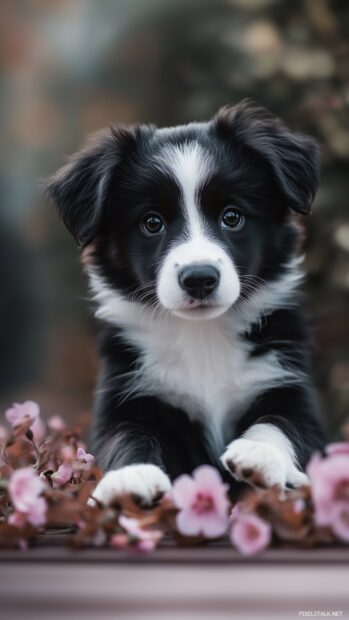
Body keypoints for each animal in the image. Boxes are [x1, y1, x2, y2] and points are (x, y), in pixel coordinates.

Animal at [47, 99, 324, 506]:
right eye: (151, 223)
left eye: (232, 216)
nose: (199, 278)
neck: (202, 334)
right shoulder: (128, 397)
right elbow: (127, 436)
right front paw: (130, 476)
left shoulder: (288, 383)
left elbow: (282, 423)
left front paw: (258, 454)